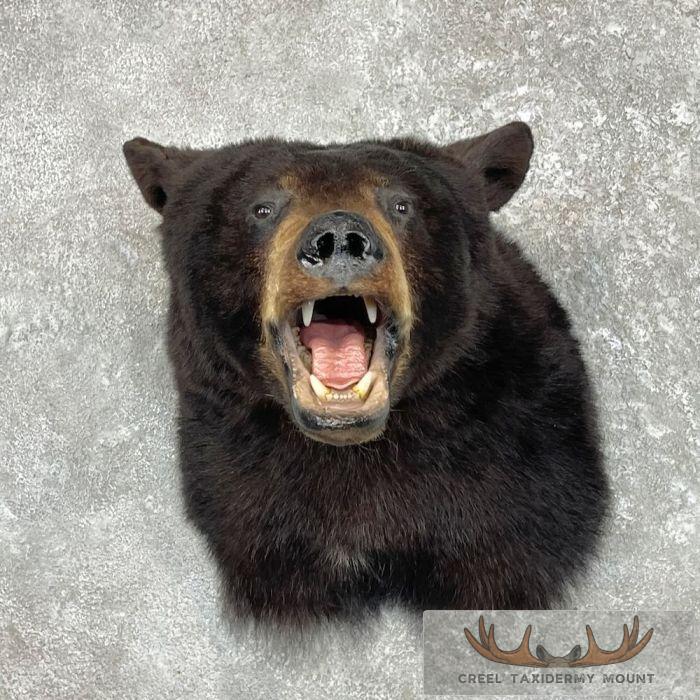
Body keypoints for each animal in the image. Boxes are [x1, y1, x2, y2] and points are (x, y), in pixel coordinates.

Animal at [123, 122, 609, 627]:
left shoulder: (516, 482)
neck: (355, 458)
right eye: (263, 207)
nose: (338, 238)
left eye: (401, 204)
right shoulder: (248, 498)